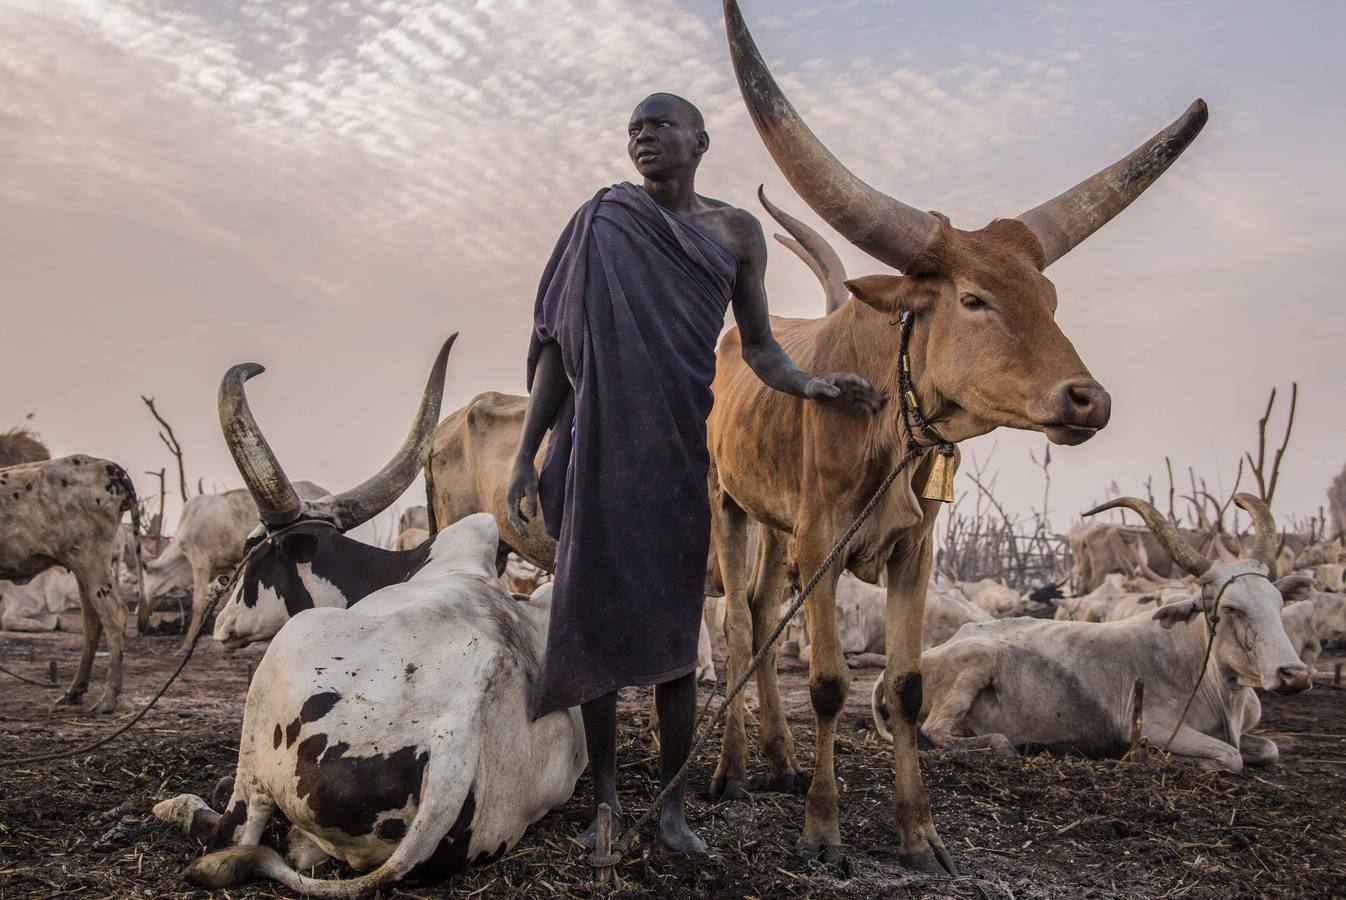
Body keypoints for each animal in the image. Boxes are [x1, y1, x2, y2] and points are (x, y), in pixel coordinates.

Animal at [0, 457, 147, 710]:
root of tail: (111, 468)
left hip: (90, 560)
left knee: (114, 614)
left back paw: (108, 698)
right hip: (81, 567)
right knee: (92, 622)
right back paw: (75, 691)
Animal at [152, 508, 584, 893]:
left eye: (253, 554)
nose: (220, 625)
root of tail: (459, 723)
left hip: (270, 690)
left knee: (235, 832)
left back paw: (179, 807)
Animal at [721, 0, 1206, 871]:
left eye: (1050, 297)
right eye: (975, 298)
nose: (1088, 400)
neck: (889, 419)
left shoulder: (914, 549)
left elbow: (906, 689)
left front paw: (920, 835)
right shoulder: (822, 541)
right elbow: (830, 685)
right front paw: (823, 831)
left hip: (776, 528)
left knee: (760, 611)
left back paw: (776, 760)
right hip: (727, 504)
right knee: (740, 627)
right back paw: (731, 772)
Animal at [872, 495, 1313, 769]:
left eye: (1278, 603)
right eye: (1229, 608)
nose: (1295, 674)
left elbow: (1269, 748)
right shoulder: (1155, 728)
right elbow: (1229, 757)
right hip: (977, 660)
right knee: (935, 732)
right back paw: (1005, 743)